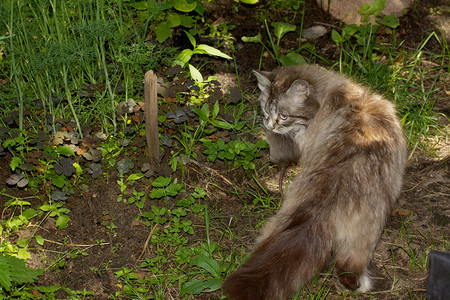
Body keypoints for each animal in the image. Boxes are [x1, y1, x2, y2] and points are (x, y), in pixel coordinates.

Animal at [222, 64, 408, 298]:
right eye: (265, 109)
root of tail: (335, 185)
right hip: (369, 226)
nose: (269, 126)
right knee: (347, 268)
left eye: (283, 115)